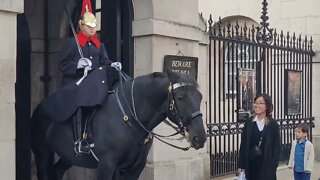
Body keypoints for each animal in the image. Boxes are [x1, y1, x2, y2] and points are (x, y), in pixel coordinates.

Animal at [31, 70, 206, 180]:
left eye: (200, 97)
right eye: (181, 97)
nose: (200, 138)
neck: (131, 119)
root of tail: (40, 106)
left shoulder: (134, 168)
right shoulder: (107, 166)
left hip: (69, 156)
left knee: (56, 172)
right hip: (41, 151)